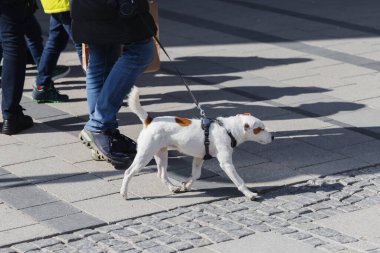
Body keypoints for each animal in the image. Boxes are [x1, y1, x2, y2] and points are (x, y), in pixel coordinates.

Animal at [121, 86, 274, 200]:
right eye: (260, 129)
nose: (273, 137)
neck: (228, 129)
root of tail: (149, 120)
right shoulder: (226, 163)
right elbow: (239, 180)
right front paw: (249, 194)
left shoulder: (199, 158)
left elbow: (196, 174)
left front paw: (187, 185)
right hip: (145, 154)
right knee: (128, 172)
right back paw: (124, 193)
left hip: (161, 154)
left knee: (162, 174)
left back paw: (173, 188)